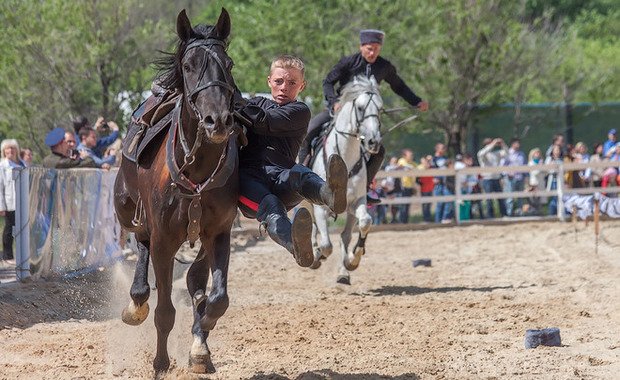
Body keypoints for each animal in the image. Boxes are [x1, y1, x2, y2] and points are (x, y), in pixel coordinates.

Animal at [112, 8, 239, 374]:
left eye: (228, 64)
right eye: (189, 65)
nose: (217, 120)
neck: (195, 170)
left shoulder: (219, 233)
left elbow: (217, 299)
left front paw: (202, 337)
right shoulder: (164, 241)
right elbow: (165, 311)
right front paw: (160, 363)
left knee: (195, 279)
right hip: (128, 210)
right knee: (141, 244)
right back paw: (136, 303)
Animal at [310, 74, 382, 284]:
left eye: (380, 108)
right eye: (360, 108)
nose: (373, 141)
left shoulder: (357, 201)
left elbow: (365, 222)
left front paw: (353, 259)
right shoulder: (319, 207)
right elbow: (326, 245)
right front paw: (319, 254)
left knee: (345, 236)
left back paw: (343, 272)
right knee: (313, 228)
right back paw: (315, 254)